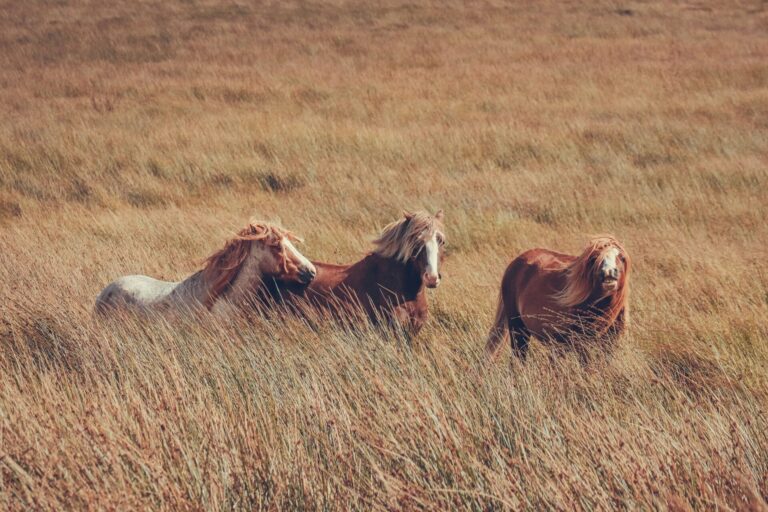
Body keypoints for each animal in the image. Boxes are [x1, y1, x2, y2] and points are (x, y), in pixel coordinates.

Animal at [484, 235, 630, 363]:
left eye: (621, 257)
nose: (609, 273)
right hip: (518, 328)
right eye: (595, 258)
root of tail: (516, 261)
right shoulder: (577, 345)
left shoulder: (608, 346)